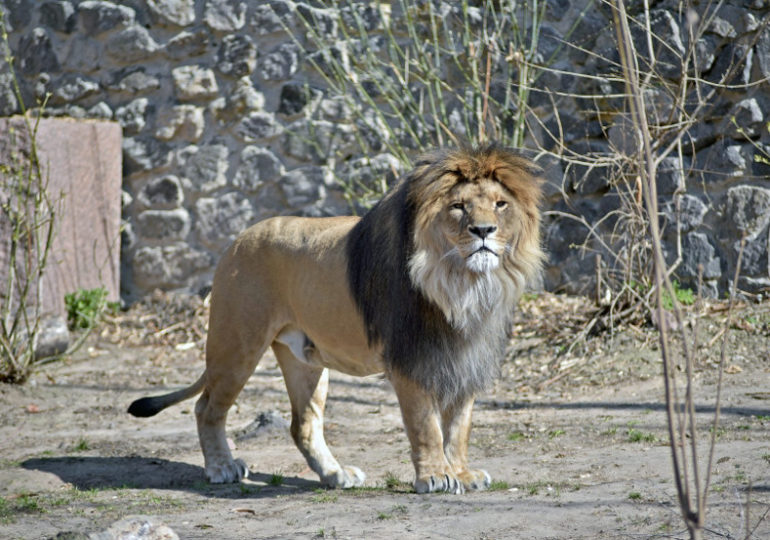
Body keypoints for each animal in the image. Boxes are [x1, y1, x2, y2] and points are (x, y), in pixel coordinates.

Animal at [127, 143, 540, 494]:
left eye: (500, 204)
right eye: (458, 206)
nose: (483, 231)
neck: (462, 284)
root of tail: (236, 240)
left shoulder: (466, 356)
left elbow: (458, 427)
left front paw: (462, 473)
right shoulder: (410, 360)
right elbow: (427, 427)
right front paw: (436, 477)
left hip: (305, 360)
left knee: (303, 424)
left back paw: (336, 475)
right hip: (236, 346)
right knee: (207, 408)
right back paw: (222, 468)